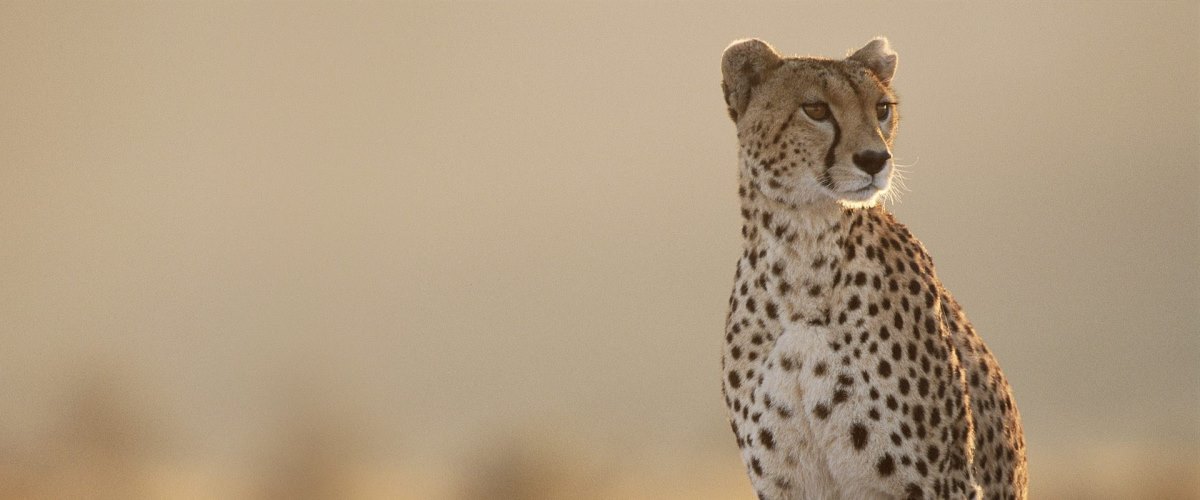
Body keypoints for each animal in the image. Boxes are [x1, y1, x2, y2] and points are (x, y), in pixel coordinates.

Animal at [719, 37, 1027, 500]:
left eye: (881, 108)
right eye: (815, 109)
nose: (874, 158)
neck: (802, 253)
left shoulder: (942, 480)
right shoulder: (787, 486)